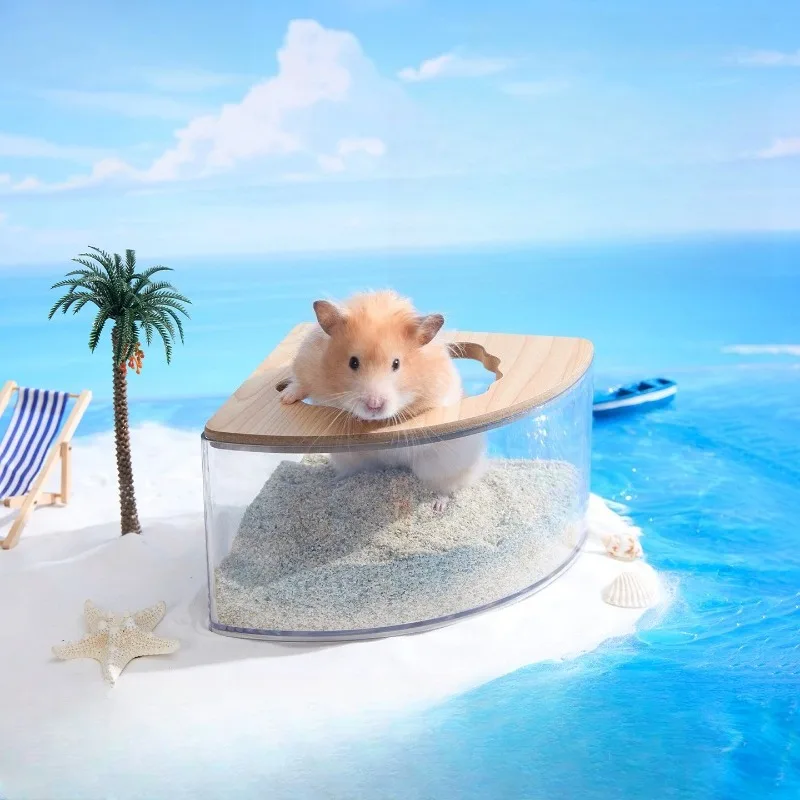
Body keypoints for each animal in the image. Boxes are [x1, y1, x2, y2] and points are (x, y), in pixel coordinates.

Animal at [280, 290, 486, 511]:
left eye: (396, 364)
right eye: (353, 362)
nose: (374, 406)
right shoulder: (306, 364)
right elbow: (300, 385)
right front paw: (285, 399)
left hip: (443, 465)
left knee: (447, 487)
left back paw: (438, 506)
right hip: (347, 458)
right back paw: (332, 483)